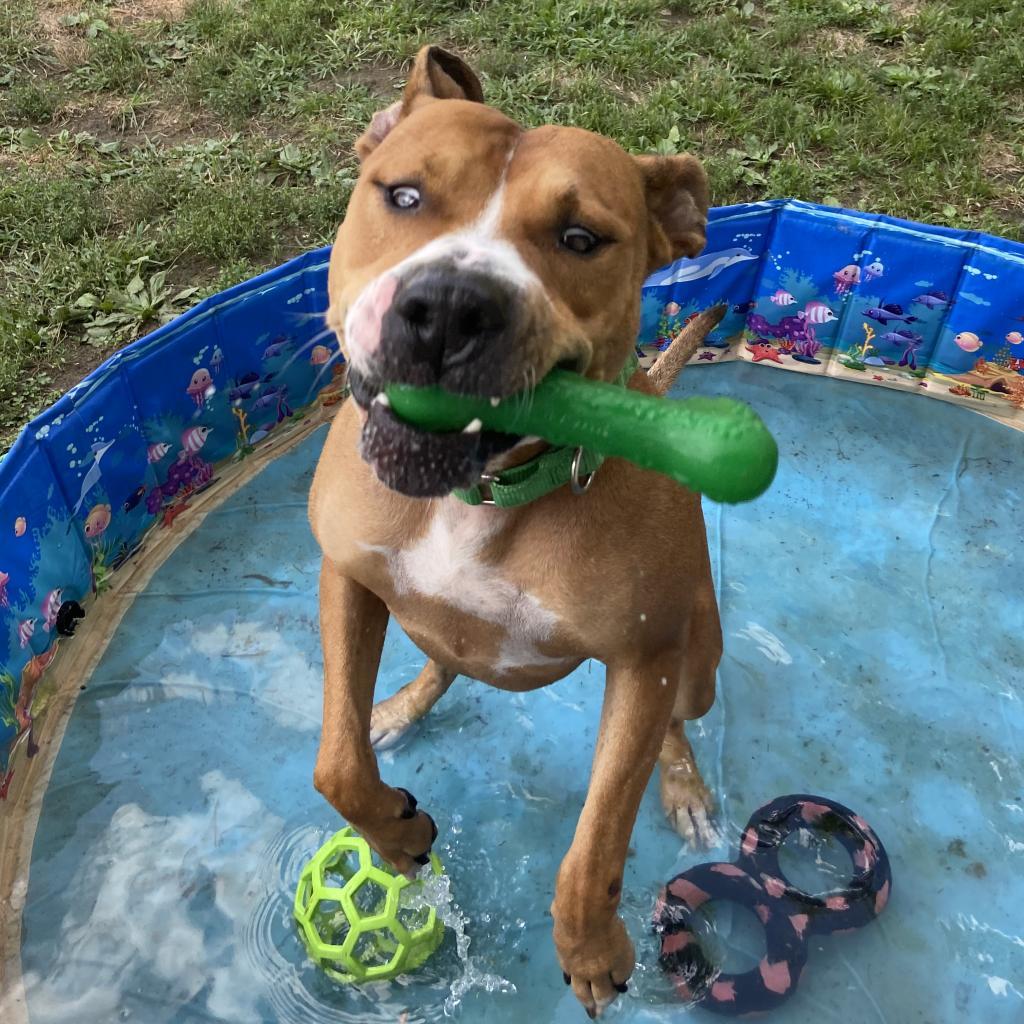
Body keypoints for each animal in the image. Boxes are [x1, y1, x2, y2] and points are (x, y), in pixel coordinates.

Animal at [309, 46, 720, 1015]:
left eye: (581, 240)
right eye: (405, 195)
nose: (450, 305)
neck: (476, 499)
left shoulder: (642, 661)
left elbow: (598, 837)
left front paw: (592, 945)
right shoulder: (347, 574)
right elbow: (335, 761)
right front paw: (393, 837)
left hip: (696, 660)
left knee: (678, 727)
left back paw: (683, 784)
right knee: (436, 666)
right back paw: (400, 706)